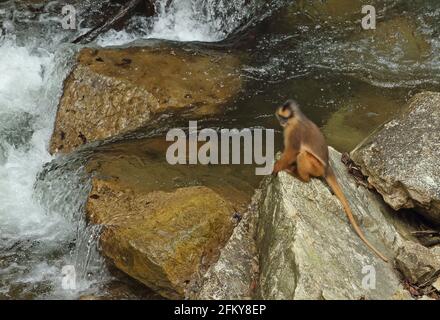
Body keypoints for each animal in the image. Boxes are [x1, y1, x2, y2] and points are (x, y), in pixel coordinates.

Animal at [272, 100, 388, 262]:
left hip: (316, 167)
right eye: (280, 117)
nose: (282, 122)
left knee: (302, 155)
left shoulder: (293, 131)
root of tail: (327, 167)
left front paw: (277, 167)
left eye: (285, 118)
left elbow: (292, 151)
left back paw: (301, 177)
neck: (295, 119)